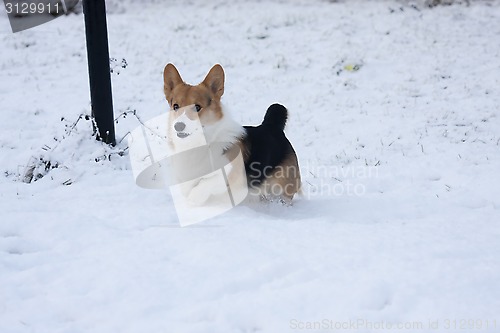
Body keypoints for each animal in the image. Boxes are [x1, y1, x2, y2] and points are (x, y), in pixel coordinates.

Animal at [163, 63, 300, 204]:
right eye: (175, 106)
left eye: (197, 107)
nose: (178, 126)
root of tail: (271, 125)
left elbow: (205, 184)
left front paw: (193, 199)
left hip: (282, 187)